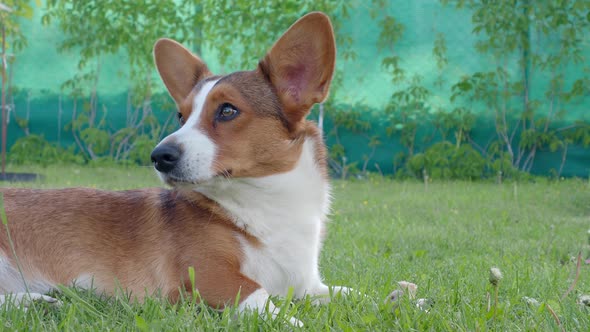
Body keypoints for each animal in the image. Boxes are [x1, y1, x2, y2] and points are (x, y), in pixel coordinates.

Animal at [0, 12, 352, 324]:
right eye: (181, 116)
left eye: (228, 110)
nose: (159, 156)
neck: (266, 204)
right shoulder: (209, 276)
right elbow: (261, 296)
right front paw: (292, 320)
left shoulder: (309, 287)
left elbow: (348, 292)